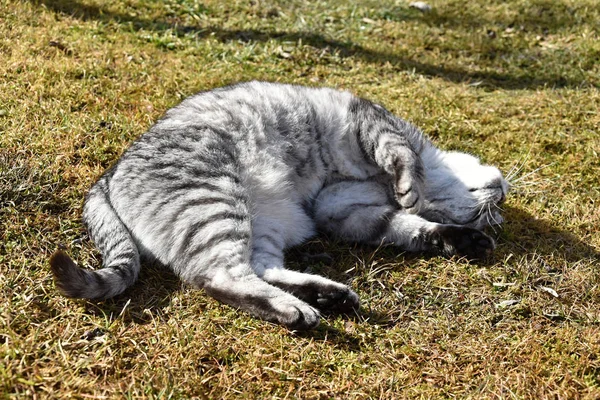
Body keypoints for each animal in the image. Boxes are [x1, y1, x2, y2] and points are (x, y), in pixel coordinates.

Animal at [51, 79, 508, 330]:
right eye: (486, 208)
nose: (501, 198)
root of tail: (107, 175)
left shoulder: (343, 212)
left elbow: (406, 228)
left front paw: (455, 238)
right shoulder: (369, 122)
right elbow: (400, 154)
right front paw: (411, 184)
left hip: (263, 221)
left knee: (258, 268)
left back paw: (325, 295)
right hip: (216, 200)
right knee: (221, 277)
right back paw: (297, 308)